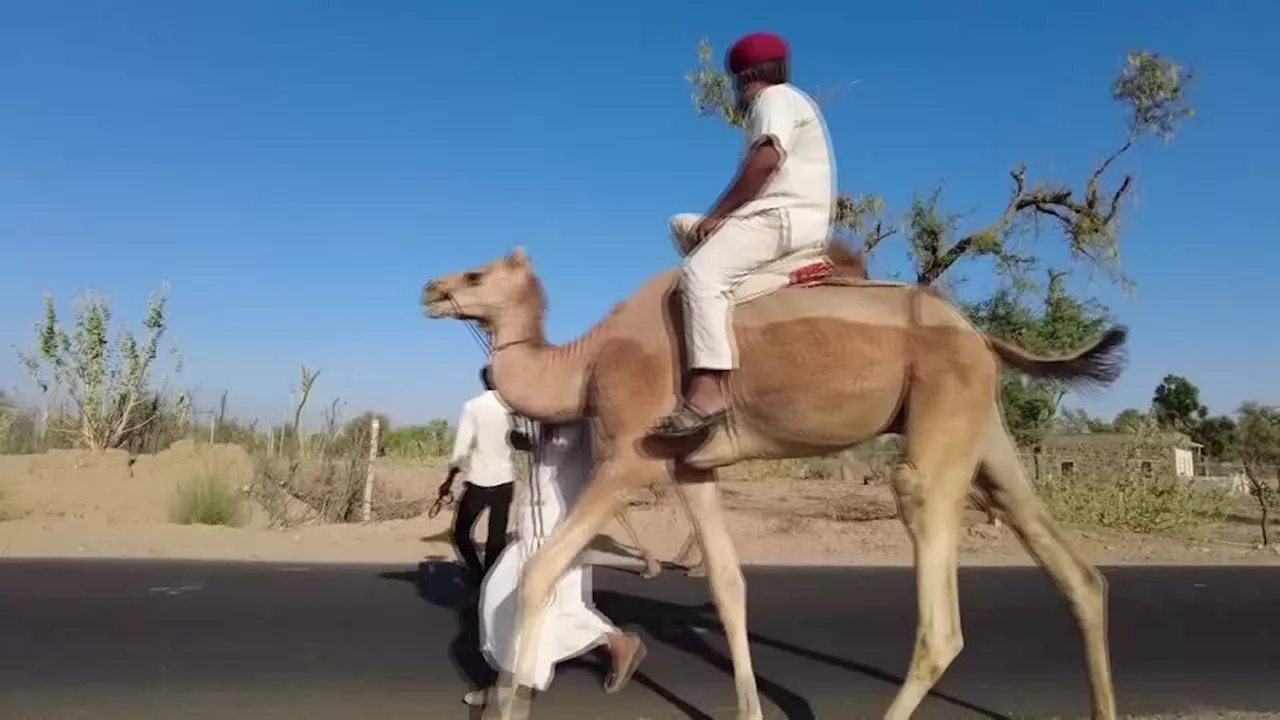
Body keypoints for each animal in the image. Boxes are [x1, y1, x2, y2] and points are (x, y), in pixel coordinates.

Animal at [422, 238, 1121, 712]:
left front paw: (509, 699)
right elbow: (728, 585)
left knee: (941, 617)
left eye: (476, 273)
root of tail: (979, 333)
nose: (430, 288)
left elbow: (540, 569)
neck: (588, 360)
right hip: (983, 425)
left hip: (944, 407)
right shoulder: (692, 468)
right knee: (1073, 569)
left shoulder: (630, 455)